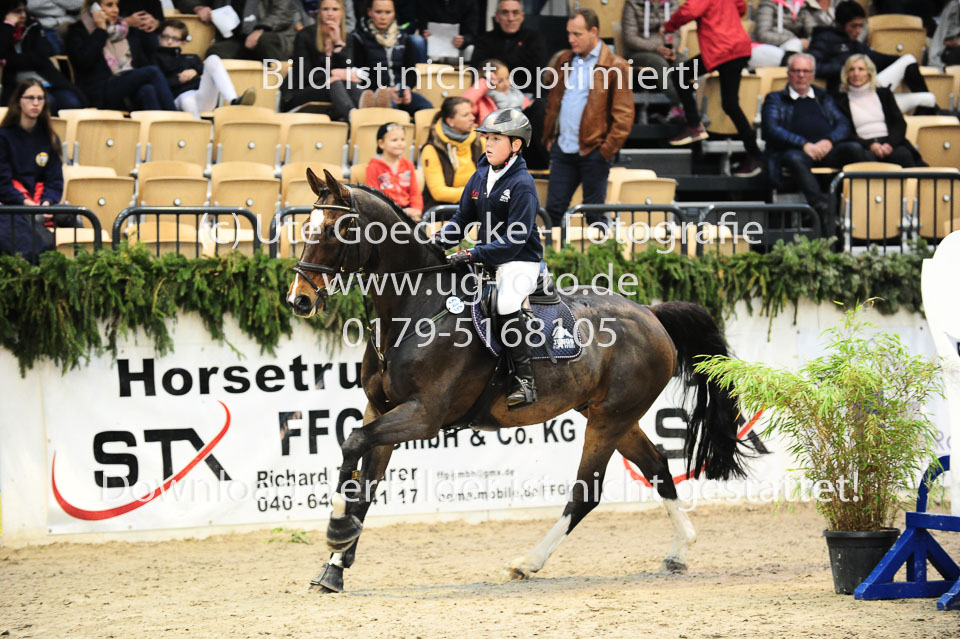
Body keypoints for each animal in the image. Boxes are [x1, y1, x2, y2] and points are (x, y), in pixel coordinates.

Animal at [285, 168, 748, 593]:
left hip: (610, 419)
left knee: (586, 492)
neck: (416, 309)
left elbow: (352, 443)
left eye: (335, 229)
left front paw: (337, 529)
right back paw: (679, 550)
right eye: (305, 226)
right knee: (657, 466)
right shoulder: (380, 409)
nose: (299, 300)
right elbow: (365, 481)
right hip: (612, 414)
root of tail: (651, 314)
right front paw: (335, 566)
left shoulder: (423, 415)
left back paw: (527, 562)